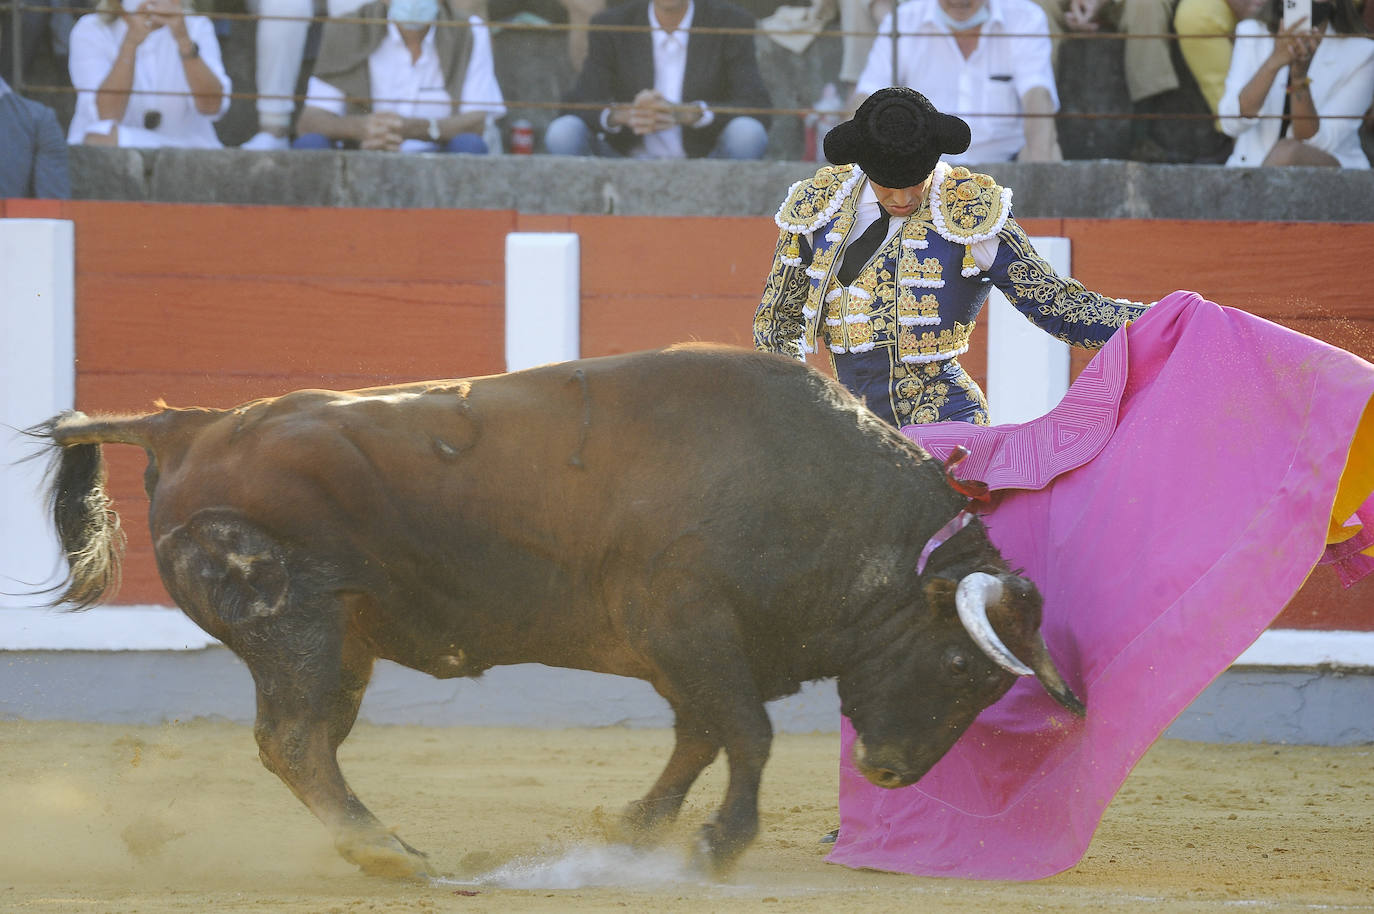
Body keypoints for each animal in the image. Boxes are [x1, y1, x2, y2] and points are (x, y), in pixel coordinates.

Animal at [32, 342, 1082, 879]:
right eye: (960, 666)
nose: (890, 771)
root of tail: (188, 425)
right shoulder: (694, 627)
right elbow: (745, 732)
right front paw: (718, 845)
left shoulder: (682, 650)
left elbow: (701, 734)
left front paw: (636, 830)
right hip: (297, 624)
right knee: (293, 742)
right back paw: (389, 855)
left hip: (341, 638)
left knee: (309, 741)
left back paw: (377, 847)